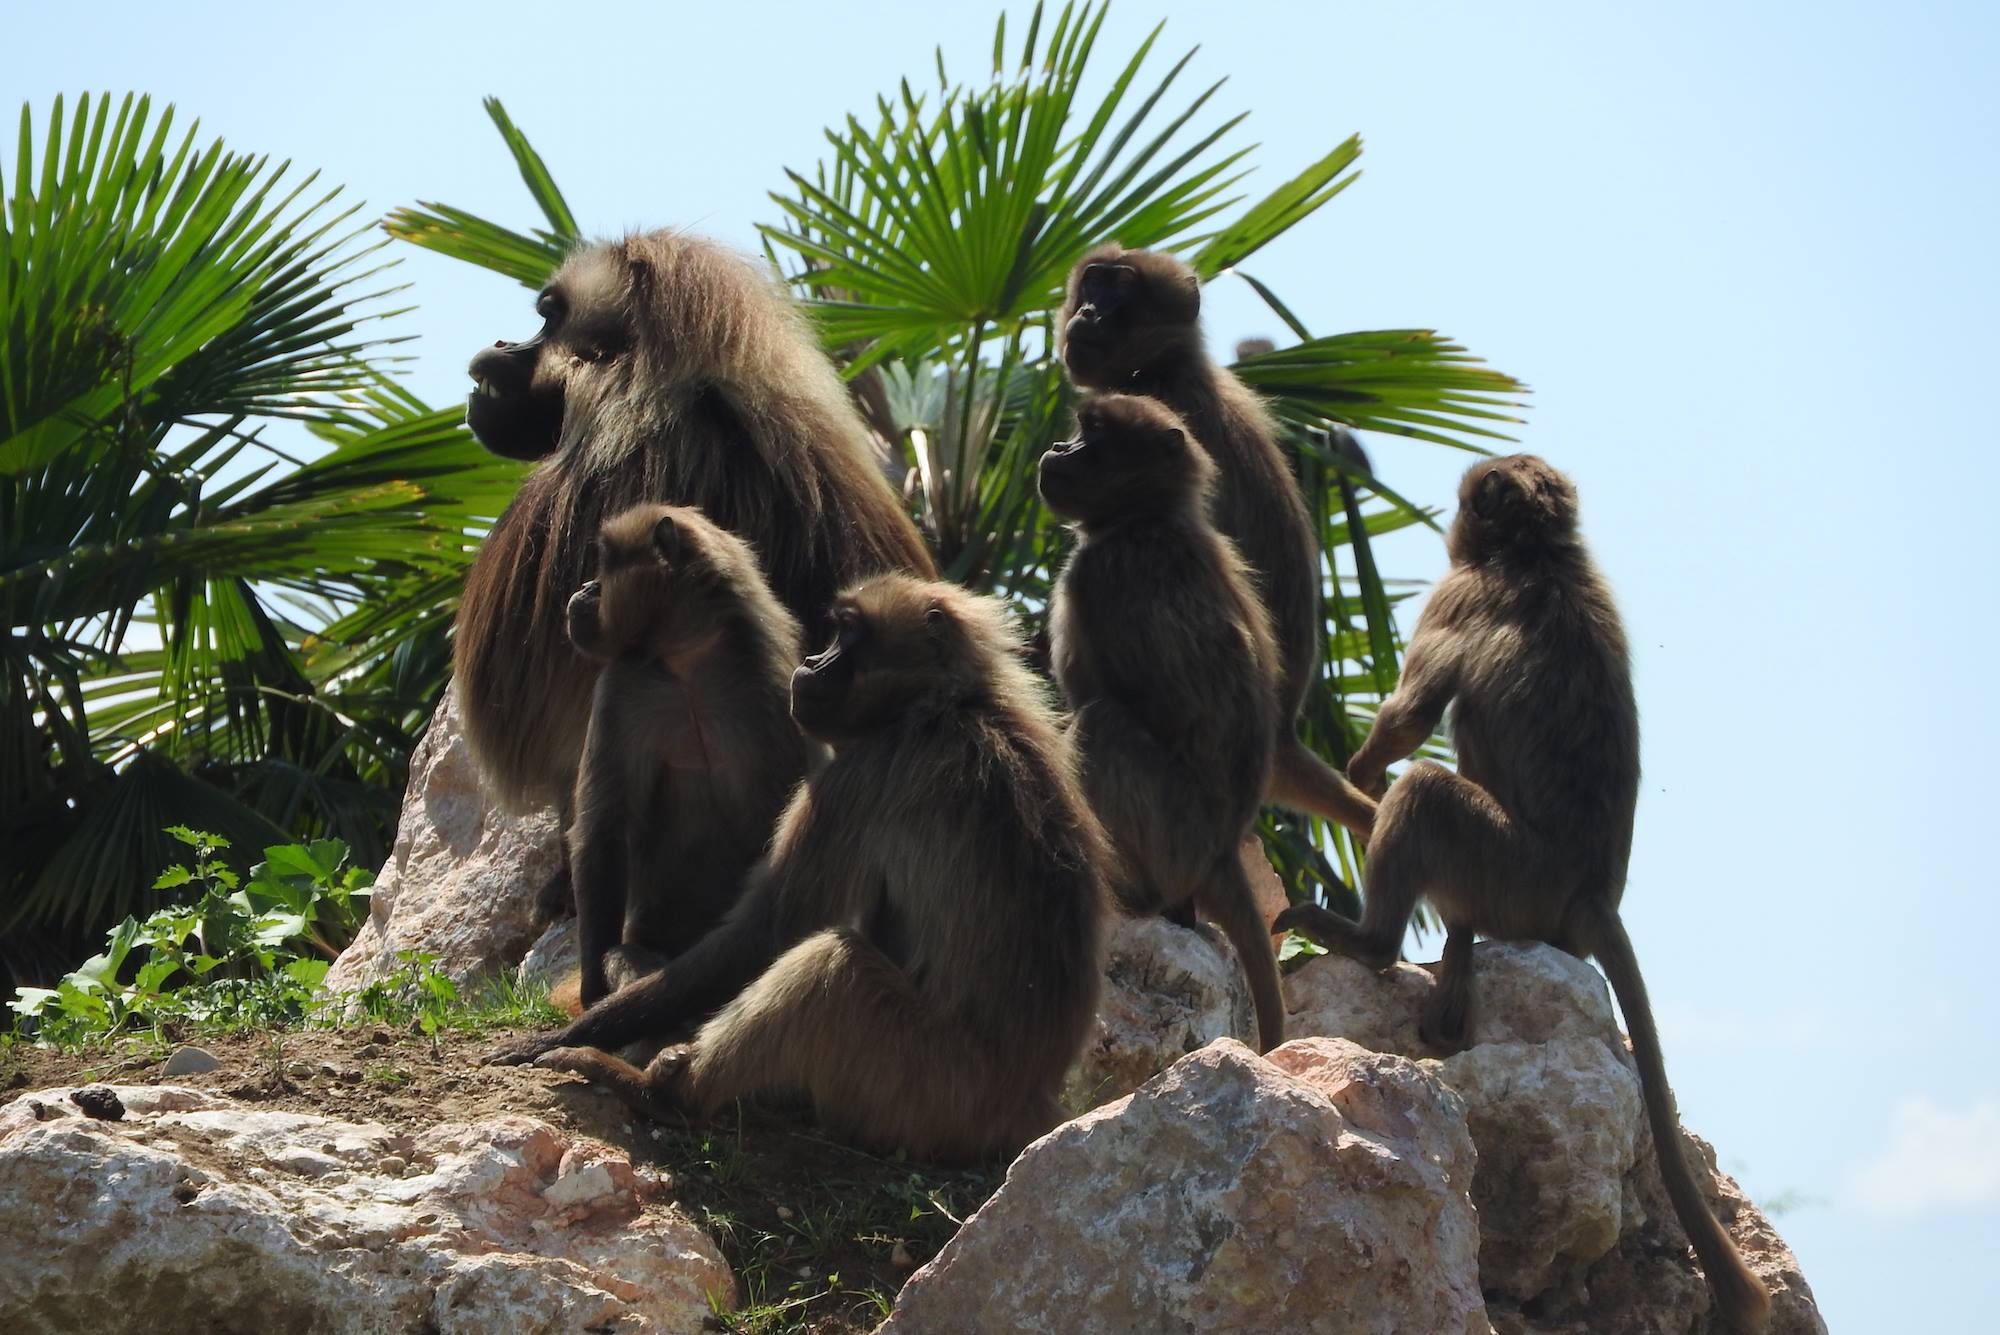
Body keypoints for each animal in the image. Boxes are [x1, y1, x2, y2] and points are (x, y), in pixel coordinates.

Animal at [519, 576, 1111, 1163]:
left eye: (849, 633)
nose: (812, 660)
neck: (943, 705)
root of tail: (1030, 1099)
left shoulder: (860, 773)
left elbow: (768, 932)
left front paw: (558, 1038)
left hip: (935, 1087)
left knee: (831, 967)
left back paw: (665, 1094)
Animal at [558, 503, 817, 1010]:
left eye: (605, 562)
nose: (584, 589)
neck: (687, 659)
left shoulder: (774, 685)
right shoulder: (623, 685)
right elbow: (602, 831)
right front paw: (594, 990)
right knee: (627, 953)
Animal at [1038, 392, 1286, 1052]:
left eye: (1094, 438)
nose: (1057, 449)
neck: (1142, 517)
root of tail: (1221, 853)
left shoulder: (1096, 574)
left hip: (1177, 842)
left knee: (1101, 725)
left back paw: (1137, 896)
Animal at [1271, 455, 1770, 1332]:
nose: (1454, 524)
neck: (1542, 558)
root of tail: (1591, 896)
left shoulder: (1459, 593)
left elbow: (1411, 717)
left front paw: (1362, 771)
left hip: (1506, 866)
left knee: (1428, 788)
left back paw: (1369, 940)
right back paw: (1453, 950)